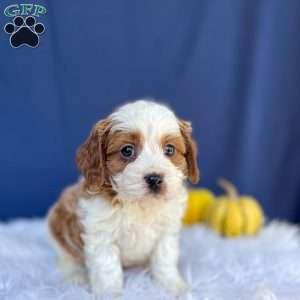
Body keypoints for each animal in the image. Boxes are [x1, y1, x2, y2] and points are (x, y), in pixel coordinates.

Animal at [47, 100, 199, 296]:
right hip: (58, 225)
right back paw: (75, 277)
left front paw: (172, 285)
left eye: (170, 150)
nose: (155, 178)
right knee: (67, 259)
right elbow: (107, 269)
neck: (139, 204)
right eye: (127, 150)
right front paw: (110, 294)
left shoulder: (166, 232)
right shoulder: (102, 237)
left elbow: (164, 260)